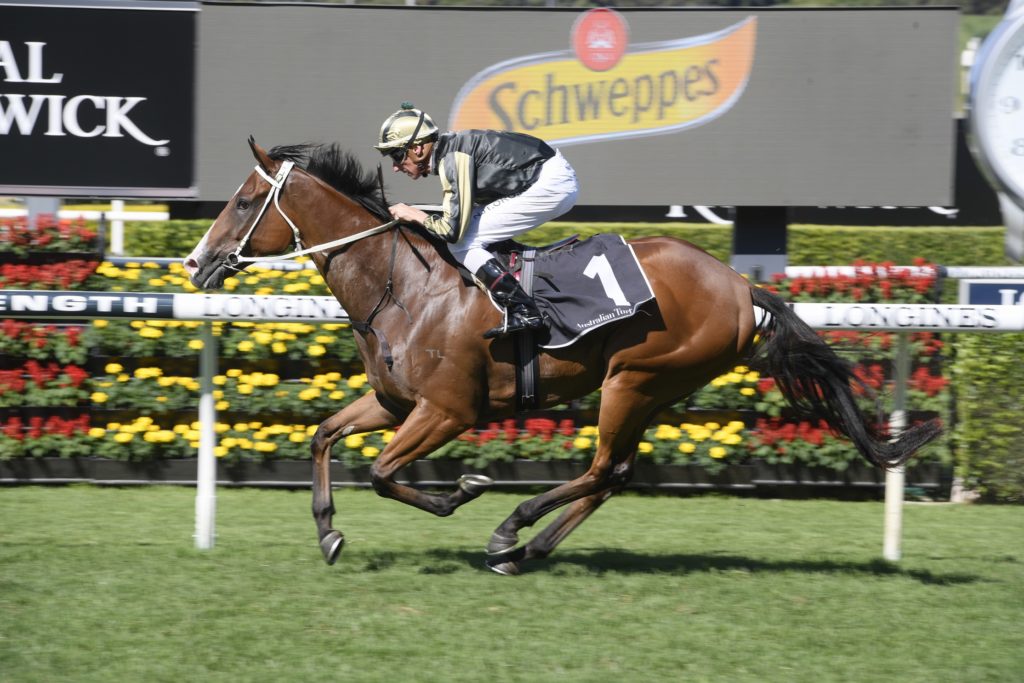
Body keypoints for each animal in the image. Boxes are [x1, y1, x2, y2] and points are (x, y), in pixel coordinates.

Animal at [183, 139, 941, 575]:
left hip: (635, 378)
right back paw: (528, 550)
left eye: (245, 200)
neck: (403, 285)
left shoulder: (448, 410)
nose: (195, 262)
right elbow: (324, 437)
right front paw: (328, 532)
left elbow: (382, 472)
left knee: (603, 467)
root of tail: (740, 284)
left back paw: (511, 531)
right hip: (650, 387)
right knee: (615, 473)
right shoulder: (395, 402)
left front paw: (464, 490)